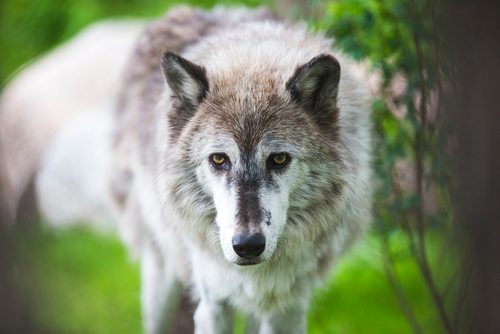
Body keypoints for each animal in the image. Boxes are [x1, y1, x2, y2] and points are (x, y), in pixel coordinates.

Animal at [111, 5, 374, 334]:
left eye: (279, 159)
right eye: (219, 159)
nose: (248, 246)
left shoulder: (288, 309)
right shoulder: (212, 305)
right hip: (160, 276)